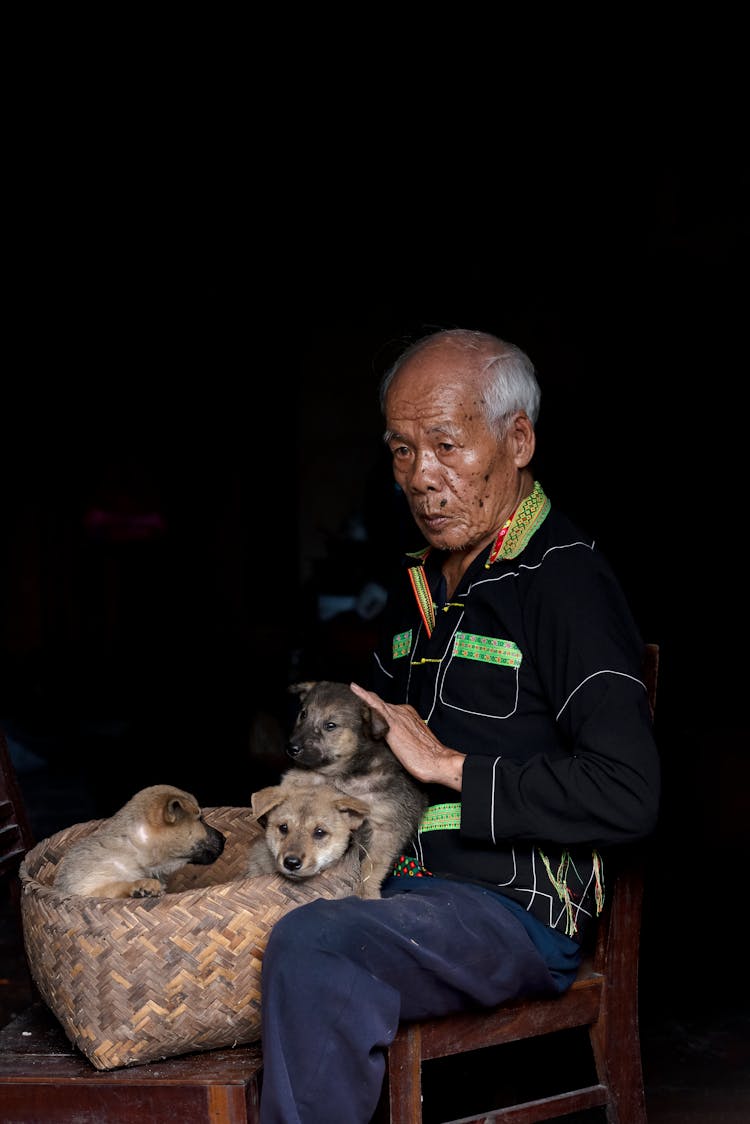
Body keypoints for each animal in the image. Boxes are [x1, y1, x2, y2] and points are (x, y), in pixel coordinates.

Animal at [53, 786, 226, 899]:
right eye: (200, 819)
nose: (225, 838)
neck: (134, 851)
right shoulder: (86, 888)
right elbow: (113, 887)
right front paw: (142, 886)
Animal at [283, 678, 427, 899]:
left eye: (330, 725)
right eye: (303, 714)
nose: (292, 748)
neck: (342, 775)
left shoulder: (386, 827)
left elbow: (372, 865)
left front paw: (367, 892)